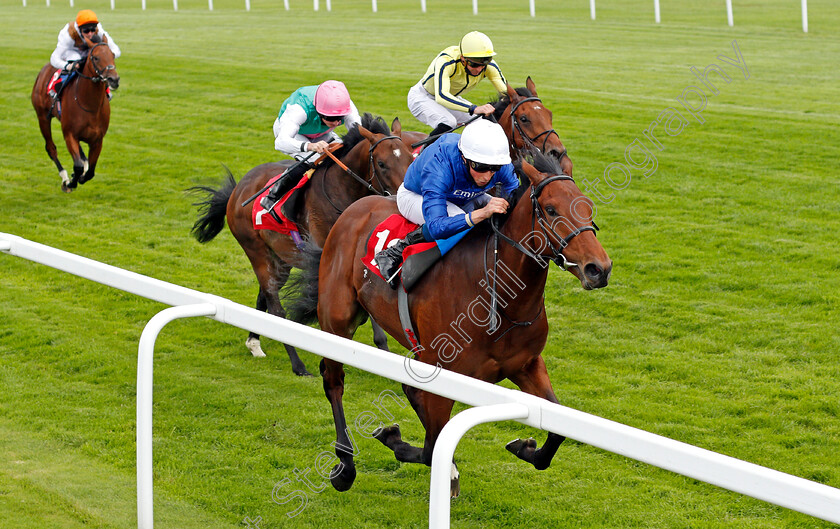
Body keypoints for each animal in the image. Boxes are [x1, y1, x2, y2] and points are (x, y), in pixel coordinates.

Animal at [31, 41, 120, 193]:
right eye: (96, 58)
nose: (114, 79)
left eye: (112, 55)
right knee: (51, 148)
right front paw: (71, 182)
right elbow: (77, 166)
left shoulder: (97, 140)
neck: (89, 105)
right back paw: (65, 178)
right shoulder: (69, 134)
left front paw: (82, 176)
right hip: (43, 118)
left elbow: (91, 171)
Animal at [191, 115, 414, 376]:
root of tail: (238, 189)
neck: (341, 193)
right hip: (257, 252)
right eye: (381, 163)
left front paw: (383, 353)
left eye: (411, 157)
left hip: (281, 259)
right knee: (276, 307)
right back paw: (297, 364)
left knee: (265, 296)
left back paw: (255, 342)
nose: (403, 199)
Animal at [288, 150, 612, 496]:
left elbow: (557, 427)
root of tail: (354, 208)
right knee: (334, 382)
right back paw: (345, 466)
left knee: (406, 389)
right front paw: (396, 441)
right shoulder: (442, 374)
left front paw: (525, 447)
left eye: (588, 207)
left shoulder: (525, 364)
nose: (599, 269)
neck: (498, 295)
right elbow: (431, 448)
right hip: (337, 321)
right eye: (551, 210)